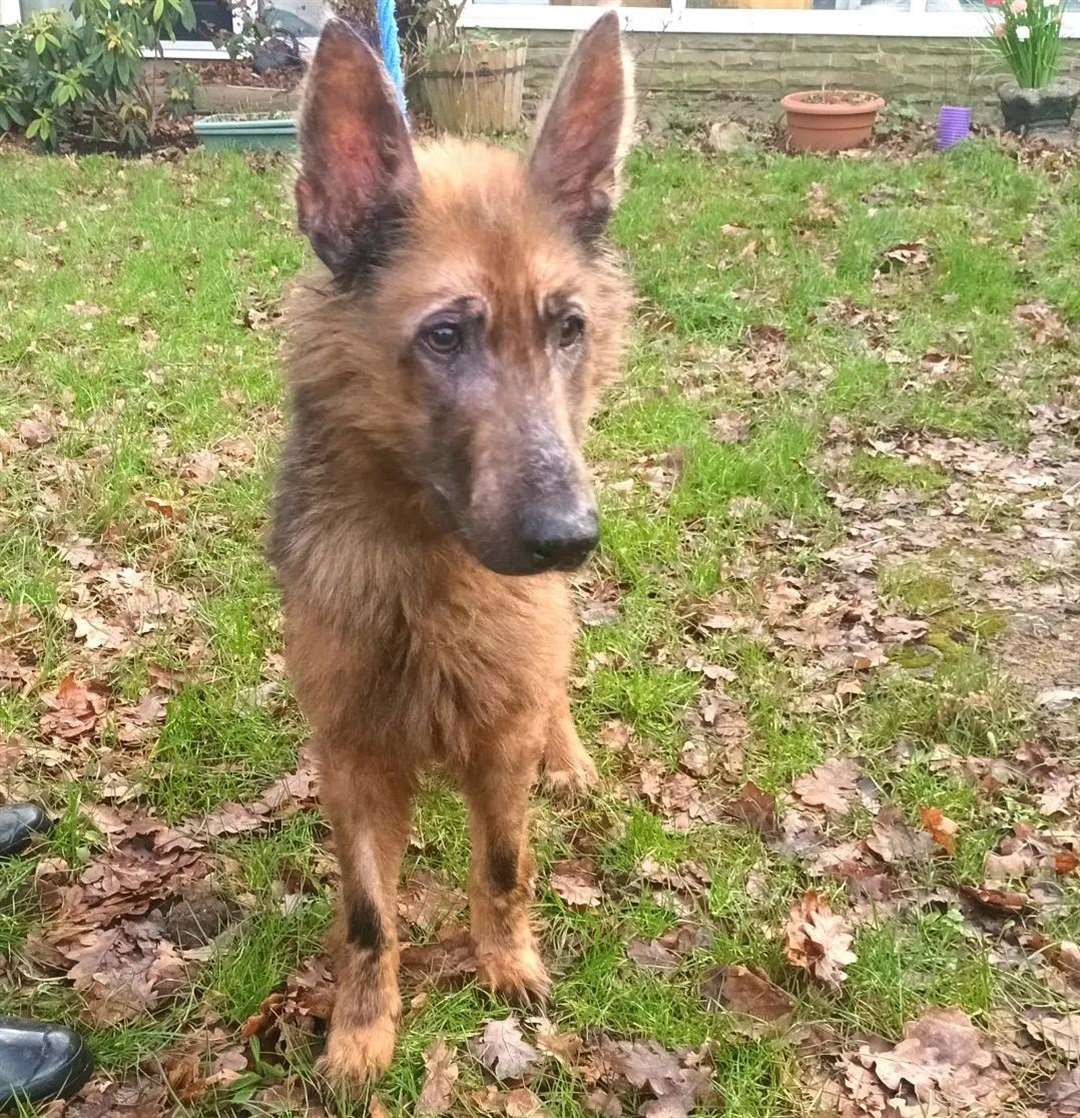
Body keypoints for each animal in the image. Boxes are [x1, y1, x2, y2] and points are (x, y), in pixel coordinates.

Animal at [270, 10, 639, 1082]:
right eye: (445, 337)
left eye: (567, 328)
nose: (570, 540)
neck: (426, 579)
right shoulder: (352, 761)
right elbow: (367, 918)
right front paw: (363, 1031)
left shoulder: (501, 739)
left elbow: (505, 865)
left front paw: (504, 961)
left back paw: (572, 756)